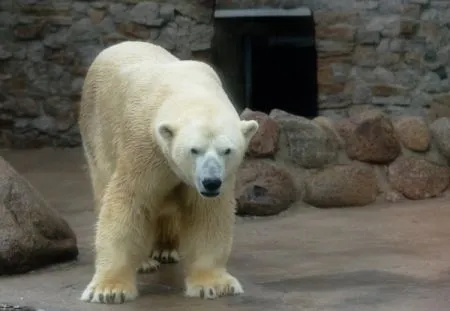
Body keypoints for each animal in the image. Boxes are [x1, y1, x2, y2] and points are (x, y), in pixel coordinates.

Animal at [78, 40, 256, 304]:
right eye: (194, 150)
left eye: (227, 150)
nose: (211, 182)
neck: (188, 89)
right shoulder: (143, 147)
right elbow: (128, 204)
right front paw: (109, 289)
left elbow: (207, 214)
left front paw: (213, 284)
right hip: (97, 131)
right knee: (104, 185)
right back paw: (144, 261)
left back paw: (166, 249)